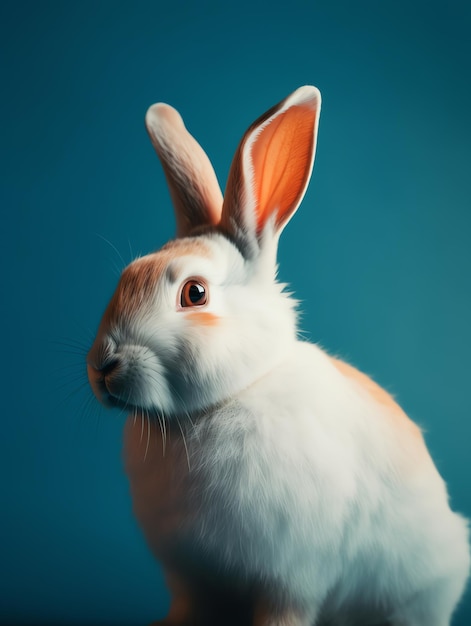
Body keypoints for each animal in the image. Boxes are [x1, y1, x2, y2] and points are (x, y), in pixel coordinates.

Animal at [87, 84, 468, 624]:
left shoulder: (292, 576)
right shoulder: (190, 575)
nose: (104, 367)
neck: (218, 404)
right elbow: (187, 606)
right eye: (127, 275)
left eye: (195, 293)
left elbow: (284, 610)